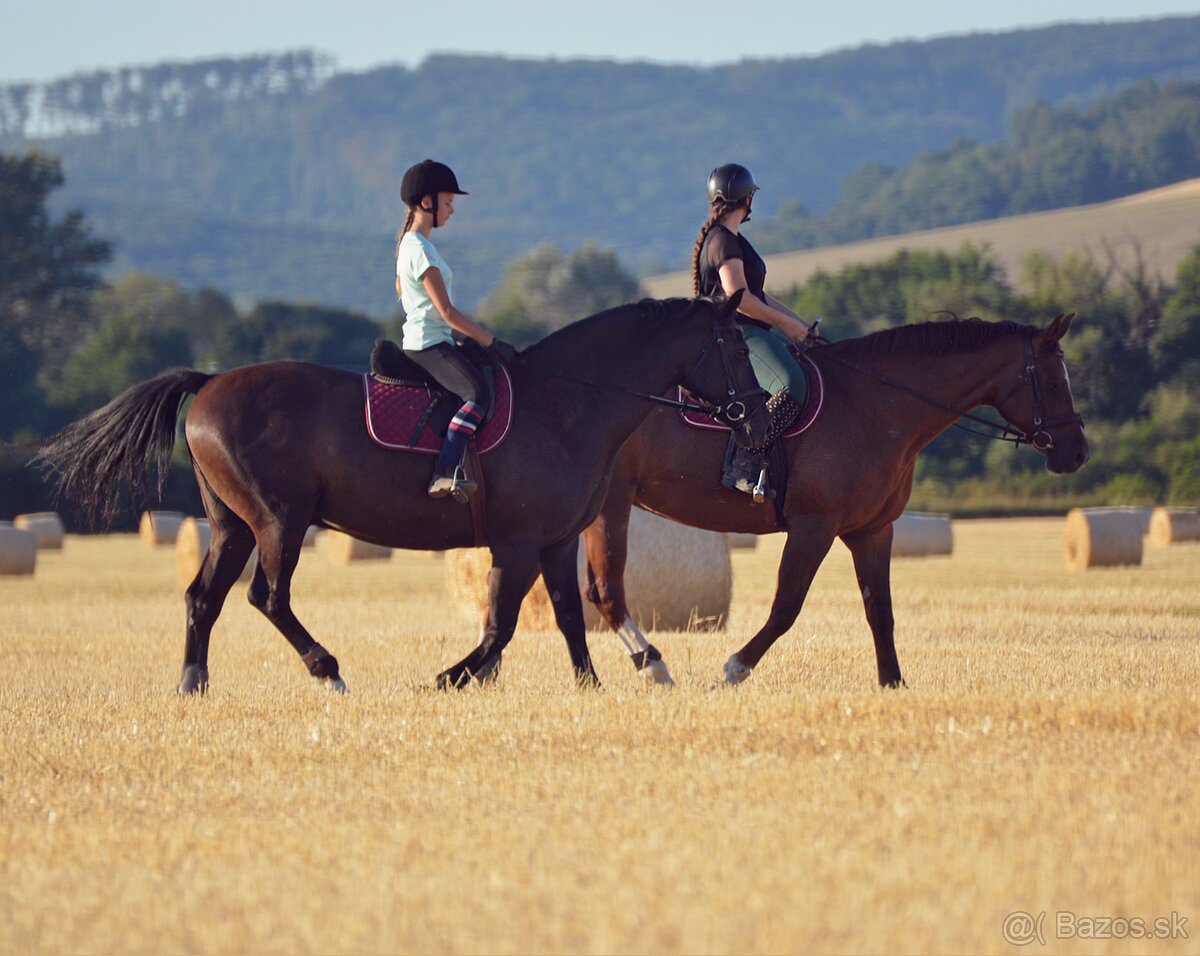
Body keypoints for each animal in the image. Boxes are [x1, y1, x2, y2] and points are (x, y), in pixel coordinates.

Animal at [37, 291, 772, 695]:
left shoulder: (555, 541)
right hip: (279, 521)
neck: (567, 404)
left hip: (231, 525)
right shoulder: (517, 541)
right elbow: (502, 624)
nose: (758, 416)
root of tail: (210, 381)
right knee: (266, 597)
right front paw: (452, 677)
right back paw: (327, 669)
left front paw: (599, 680)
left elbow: (566, 614)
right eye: (737, 346)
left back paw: (194, 684)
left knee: (202, 598)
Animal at [576, 314, 1094, 686]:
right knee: (605, 591)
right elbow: (786, 607)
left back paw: (590, 678)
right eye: (1053, 382)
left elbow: (879, 611)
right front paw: (734, 669)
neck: (875, 406)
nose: (1078, 452)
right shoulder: (815, 526)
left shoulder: (872, 531)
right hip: (609, 507)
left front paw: (893, 684)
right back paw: (651, 666)